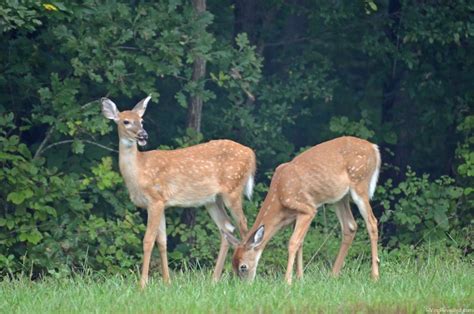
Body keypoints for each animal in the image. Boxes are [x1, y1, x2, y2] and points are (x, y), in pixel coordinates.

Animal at [100, 96, 256, 290]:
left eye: (141, 121)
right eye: (126, 121)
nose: (143, 135)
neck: (139, 171)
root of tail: (251, 154)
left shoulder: (155, 200)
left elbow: (148, 240)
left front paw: (142, 284)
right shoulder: (161, 203)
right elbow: (162, 241)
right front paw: (167, 281)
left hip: (233, 189)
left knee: (244, 226)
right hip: (212, 199)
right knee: (226, 228)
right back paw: (214, 279)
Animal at [223, 136, 382, 284]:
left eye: (243, 267)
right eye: (233, 265)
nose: (244, 285)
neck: (279, 196)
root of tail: (374, 148)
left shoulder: (308, 209)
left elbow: (293, 242)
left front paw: (287, 281)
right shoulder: (296, 215)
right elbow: (300, 243)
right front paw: (300, 278)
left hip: (360, 183)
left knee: (372, 222)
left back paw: (374, 276)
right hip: (339, 198)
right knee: (350, 226)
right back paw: (333, 275)